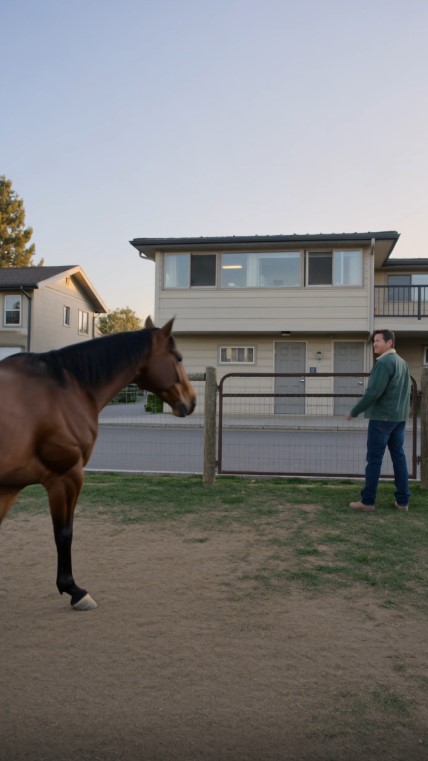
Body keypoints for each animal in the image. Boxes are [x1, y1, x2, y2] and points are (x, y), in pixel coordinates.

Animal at [0, 316, 196, 611]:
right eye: (179, 358)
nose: (191, 400)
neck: (67, 388)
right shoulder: (65, 477)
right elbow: (64, 533)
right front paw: (73, 589)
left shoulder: (9, 486)